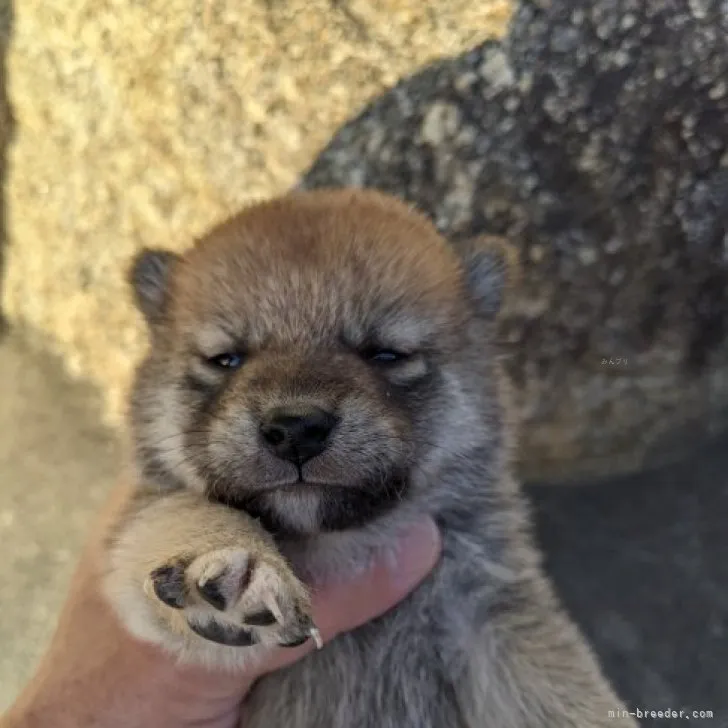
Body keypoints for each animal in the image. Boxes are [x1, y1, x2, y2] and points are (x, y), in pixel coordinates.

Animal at [104, 189, 636, 728]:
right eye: (225, 359)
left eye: (386, 354)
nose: (295, 429)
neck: (342, 544)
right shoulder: (147, 523)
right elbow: (177, 512)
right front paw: (233, 559)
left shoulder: (495, 616)